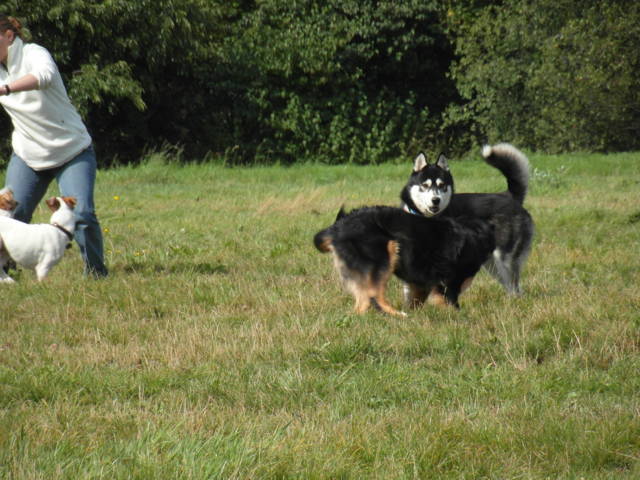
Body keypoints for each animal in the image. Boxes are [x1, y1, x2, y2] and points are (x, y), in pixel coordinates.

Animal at [316, 205, 496, 316]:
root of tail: (336, 227)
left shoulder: (420, 284)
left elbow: (415, 300)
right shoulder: (448, 283)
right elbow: (451, 304)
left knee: (362, 302)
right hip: (385, 252)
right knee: (371, 298)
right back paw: (398, 315)